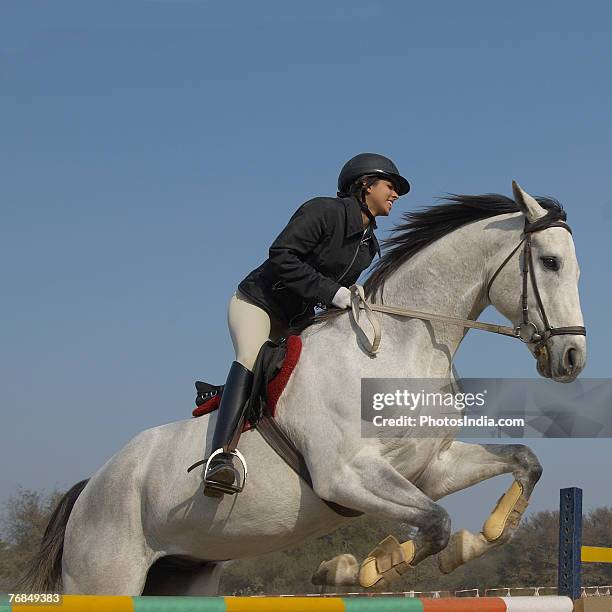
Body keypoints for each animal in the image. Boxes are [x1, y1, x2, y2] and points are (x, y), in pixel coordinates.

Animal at [21, 182, 584, 592]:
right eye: (550, 262)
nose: (573, 359)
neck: (399, 350)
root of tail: (90, 488)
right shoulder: (347, 475)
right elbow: (436, 523)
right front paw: (359, 569)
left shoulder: (430, 470)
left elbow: (521, 464)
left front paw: (483, 537)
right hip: (104, 576)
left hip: (184, 572)